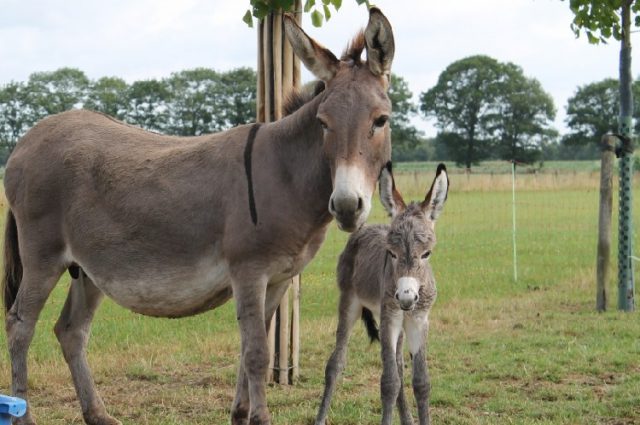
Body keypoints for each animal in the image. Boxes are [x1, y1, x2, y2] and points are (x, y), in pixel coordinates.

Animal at [316, 163, 450, 424]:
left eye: (426, 253)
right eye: (391, 253)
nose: (406, 297)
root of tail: (365, 227)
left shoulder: (418, 320)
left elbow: (421, 382)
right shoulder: (390, 317)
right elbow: (389, 383)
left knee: (398, 366)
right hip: (351, 302)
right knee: (335, 364)